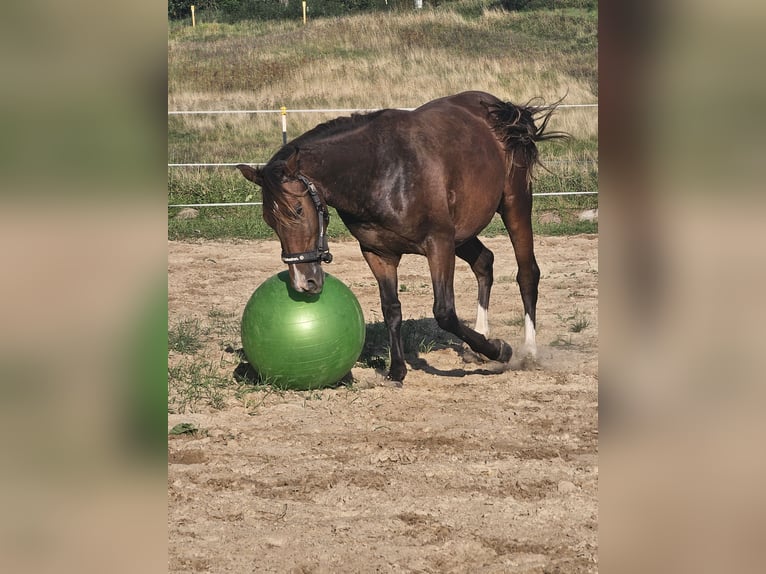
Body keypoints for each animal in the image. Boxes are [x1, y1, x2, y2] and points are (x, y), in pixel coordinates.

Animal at [238, 91, 567, 384]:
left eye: (297, 210)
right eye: (269, 221)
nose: (303, 282)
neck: (381, 171)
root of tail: (500, 109)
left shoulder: (439, 244)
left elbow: (444, 313)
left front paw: (500, 349)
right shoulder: (378, 253)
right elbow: (391, 308)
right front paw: (397, 371)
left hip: (514, 205)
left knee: (527, 273)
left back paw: (527, 351)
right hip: (463, 233)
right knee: (484, 262)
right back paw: (481, 340)